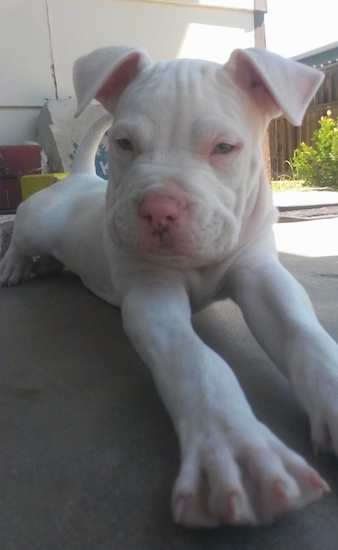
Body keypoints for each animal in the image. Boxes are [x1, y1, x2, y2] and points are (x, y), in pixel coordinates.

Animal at [1, 47, 336, 532]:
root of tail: (80, 177)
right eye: (124, 144)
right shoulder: (152, 296)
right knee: (20, 237)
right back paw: (15, 266)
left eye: (223, 148)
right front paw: (238, 450)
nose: (160, 209)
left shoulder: (261, 274)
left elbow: (304, 334)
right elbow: (195, 360)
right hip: (37, 224)